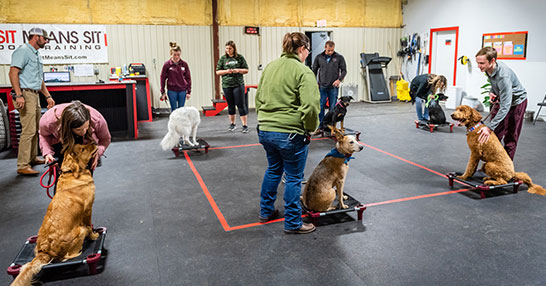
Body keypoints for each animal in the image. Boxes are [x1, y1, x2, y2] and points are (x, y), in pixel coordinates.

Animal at [10, 144, 99, 286]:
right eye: (83, 149)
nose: (95, 143)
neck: (72, 174)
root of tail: (45, 250)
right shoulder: (88, 210)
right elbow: (89, 226)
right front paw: (94, 235)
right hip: (80, 231)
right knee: (68, 255)